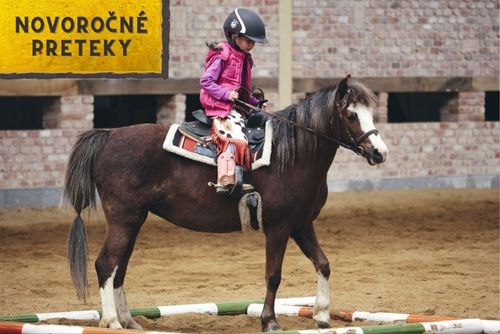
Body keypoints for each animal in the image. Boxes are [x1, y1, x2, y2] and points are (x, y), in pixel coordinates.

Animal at [64, 75, 388, 332]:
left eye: (371, 113)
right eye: (350, 115)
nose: (379, 152)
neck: (292, 154)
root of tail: (108, 135)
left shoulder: (301, 224)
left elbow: (323, 264)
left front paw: (321, 315)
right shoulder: (278, 227)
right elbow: (273, 275)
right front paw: (270, 321)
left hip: (134, 220)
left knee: (119, 268)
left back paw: (129, 320)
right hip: (123, 218)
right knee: (106, 264)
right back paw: (112, 322)